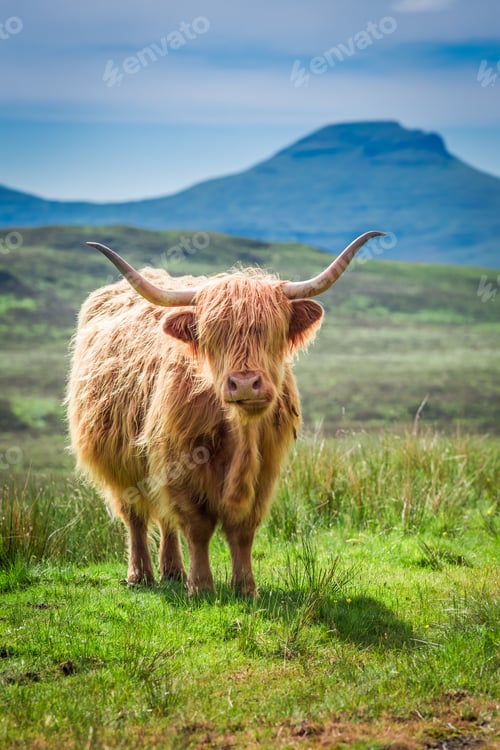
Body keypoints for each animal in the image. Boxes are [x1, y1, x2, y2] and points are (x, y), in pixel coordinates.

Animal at [67, 231, 383, 595]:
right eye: (212, 336)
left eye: (271, 331)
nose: (245, 384)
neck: (240, 435)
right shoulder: (180, 466)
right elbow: (197, 527)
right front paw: (201, 586)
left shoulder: (265, 471)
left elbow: (243, 530)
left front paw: (245, 587)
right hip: (119, 460)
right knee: (135, 515)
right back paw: (140, 575)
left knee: (164, 518)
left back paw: (172, 571)